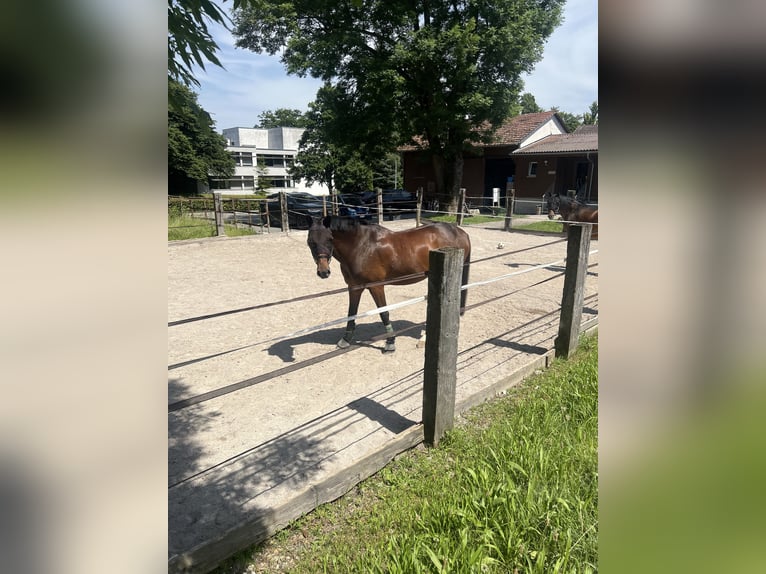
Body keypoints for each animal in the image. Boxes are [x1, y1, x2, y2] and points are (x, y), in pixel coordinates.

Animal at [304, 216, 472, 352]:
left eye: (330, 239)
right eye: (310, 242)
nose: (323, 272)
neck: (361, 246)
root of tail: (460, 232)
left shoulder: (376, 286)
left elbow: (384, 313)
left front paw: (390, 342)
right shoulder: (354, 287)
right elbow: (351, 313)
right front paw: (345, 340)